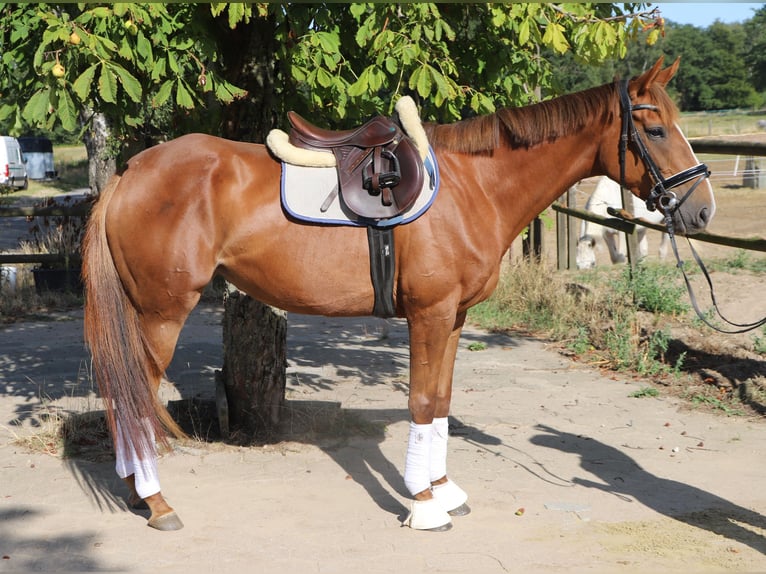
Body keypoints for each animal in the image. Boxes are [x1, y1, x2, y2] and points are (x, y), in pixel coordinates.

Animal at [82, 57, 715, 532]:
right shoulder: (429, 315)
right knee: (137, 394)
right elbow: (421, 401)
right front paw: (425, 506)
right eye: (655, 130)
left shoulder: (455, 317)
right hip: (162, 312)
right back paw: (156, 501)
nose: (701, 210)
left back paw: (139, 492)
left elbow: (442, 400)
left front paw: (441, 487)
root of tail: (131, 172)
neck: (472, 187)